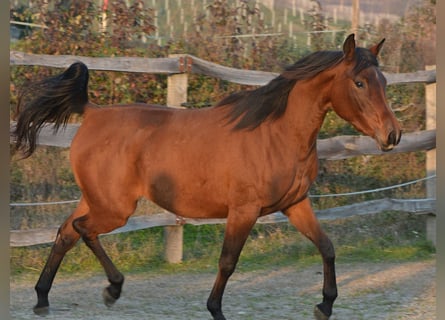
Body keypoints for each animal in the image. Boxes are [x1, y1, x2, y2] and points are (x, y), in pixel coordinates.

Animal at [12, 33, 400, 318]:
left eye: (383, 80)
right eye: (360, 83)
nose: (392, 135)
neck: (275, 133)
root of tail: (91, 112)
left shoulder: (295, 204)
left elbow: (327, 247)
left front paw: (325, 304)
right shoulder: (243, 210)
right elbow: (228, 262)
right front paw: (215, 310)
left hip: (98, 200)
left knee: (66, 232)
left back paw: (43, 299)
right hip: (114, 209)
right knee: (82, 230)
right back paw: (113, 287)